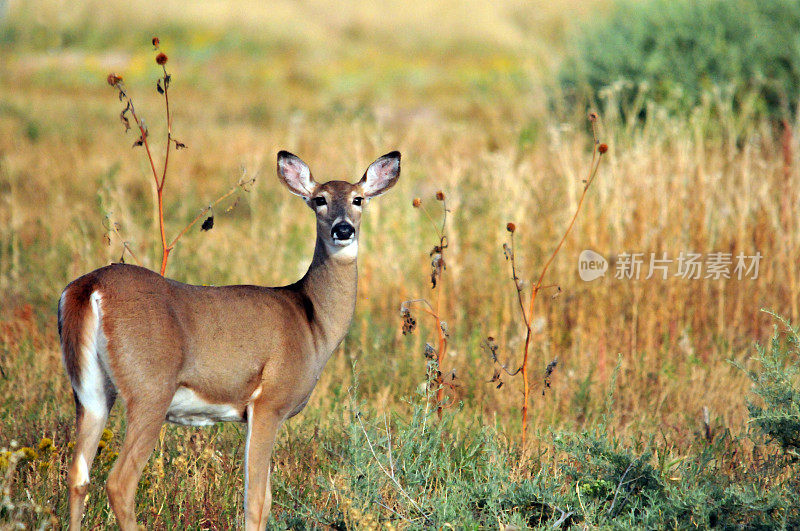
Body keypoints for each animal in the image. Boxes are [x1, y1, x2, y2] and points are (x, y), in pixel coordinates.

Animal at [57, 150, 400, 528]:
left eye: (358, 199)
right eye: (319, 200)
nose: (344, 229)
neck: (312, 323)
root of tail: (89, 288)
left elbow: (264, 498)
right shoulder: (269, 403)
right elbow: (256, 501)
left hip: (90, 390)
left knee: (77, 476)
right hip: (150, 388)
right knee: (120, 482)